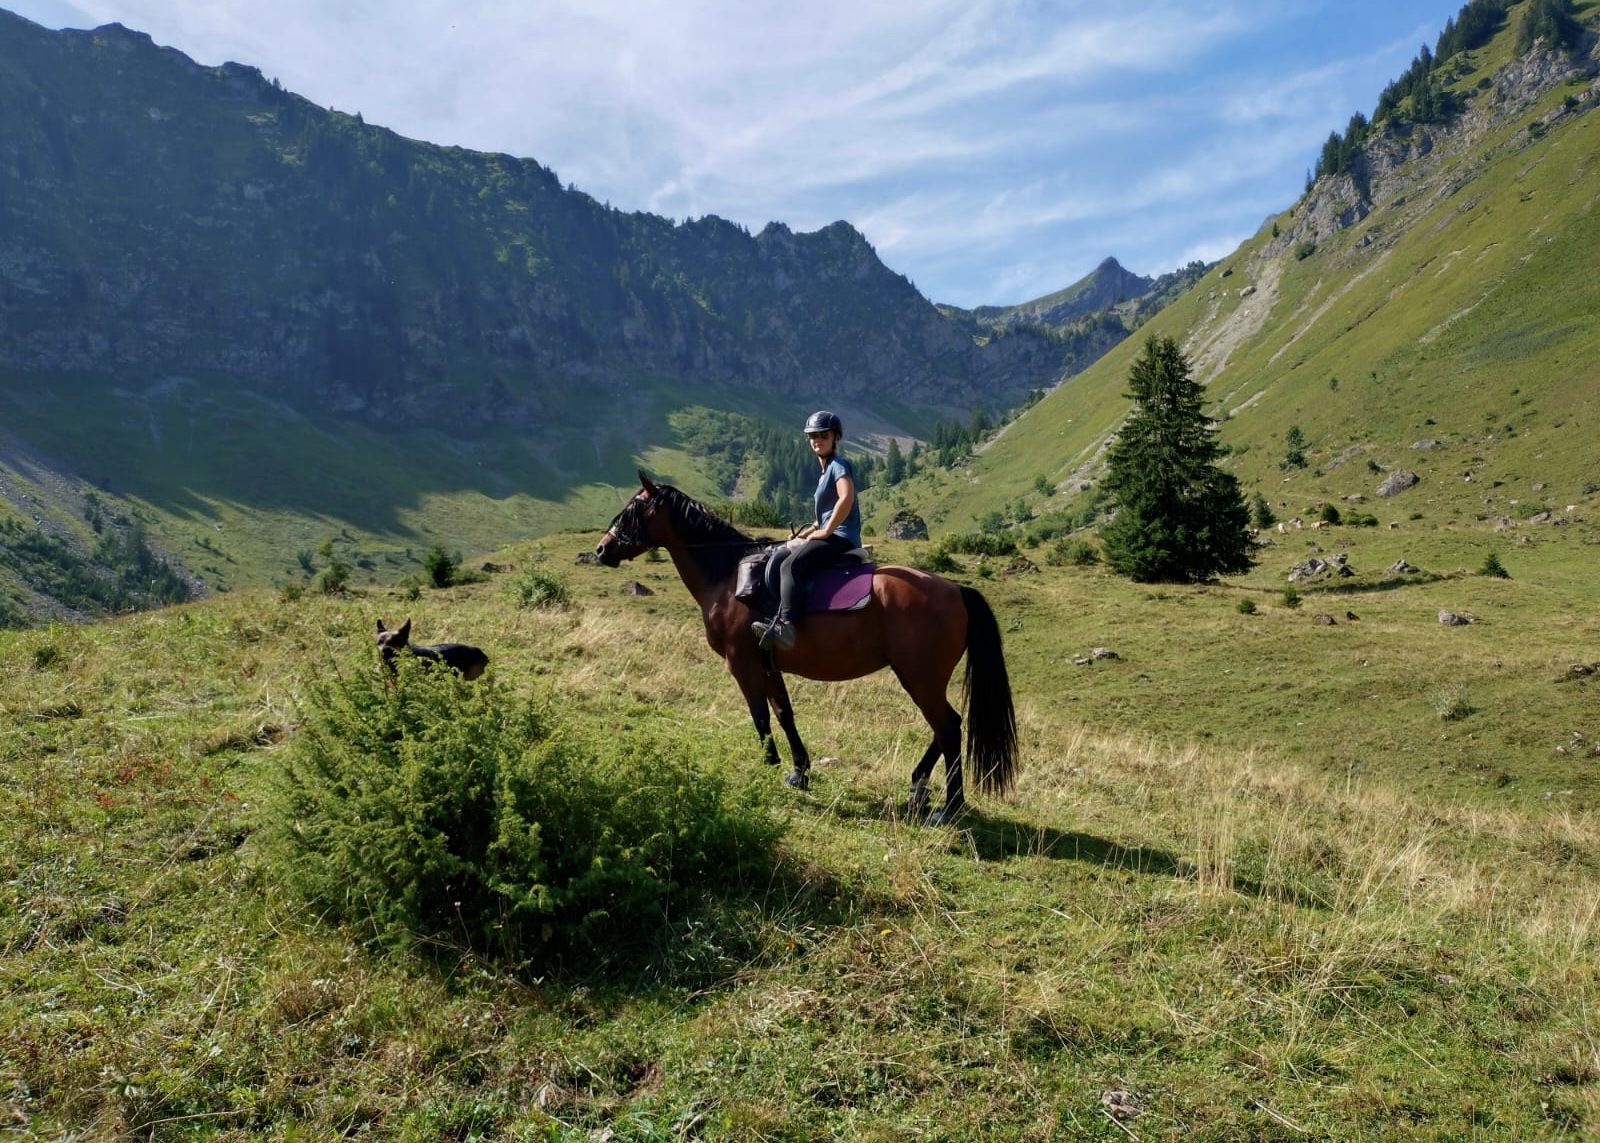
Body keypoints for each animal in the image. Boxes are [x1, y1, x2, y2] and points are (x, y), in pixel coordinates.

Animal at [595, 470, 1017, 819]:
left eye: (633, 508)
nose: (602, 549)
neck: (729, 577)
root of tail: (956, 590)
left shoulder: (741, 661)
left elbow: (760, 715)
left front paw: (769, 764)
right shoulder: (767, 662)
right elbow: (784, 712)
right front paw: (799, 770)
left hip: (920, 677)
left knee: (948, 727)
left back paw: (950, 806)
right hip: (922, 678)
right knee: (945, 727)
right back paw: (917, 787)